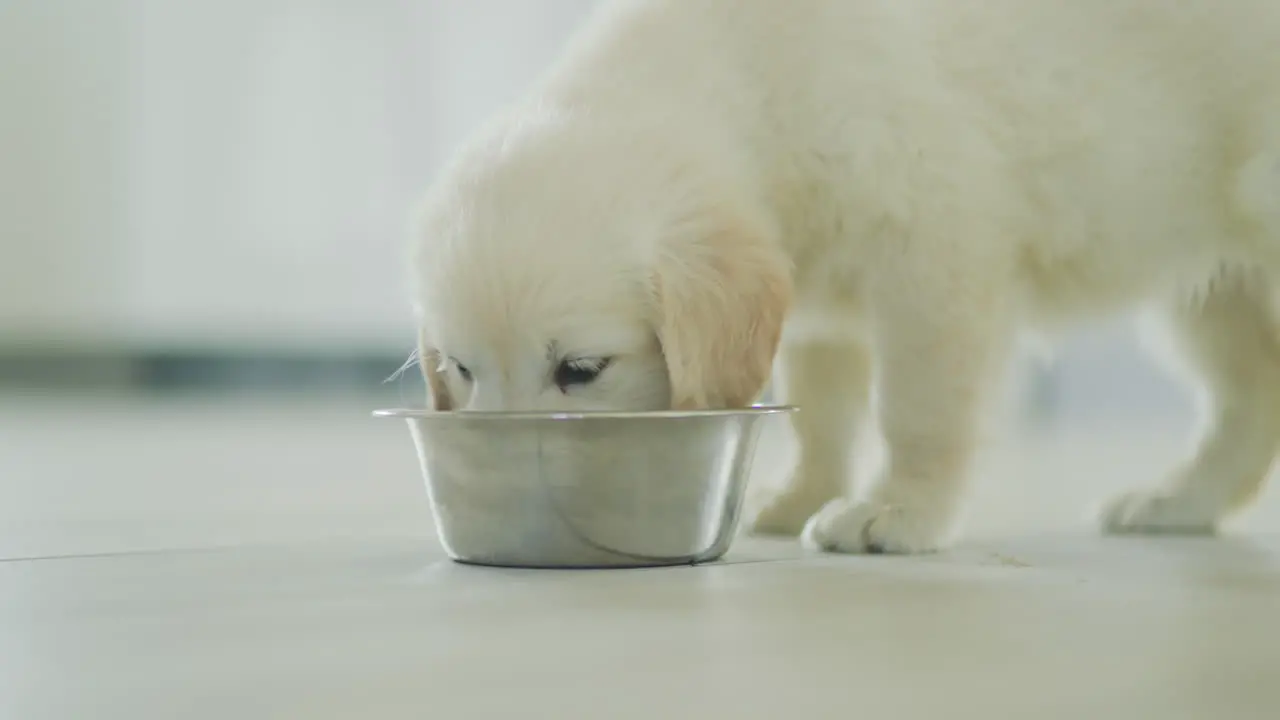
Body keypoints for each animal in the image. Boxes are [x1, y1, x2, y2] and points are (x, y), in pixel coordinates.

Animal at [407, 0, 1280, 550]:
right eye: (460, 369)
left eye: (581, 370)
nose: (497, 485)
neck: (754, 73)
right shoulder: (816, 301)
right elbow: (820, 412)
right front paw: (803, 494)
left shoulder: (935, 251)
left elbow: (916, 408)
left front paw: (899, 507)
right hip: (1216, 289)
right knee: (1248, 403)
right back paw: (1178, 501)